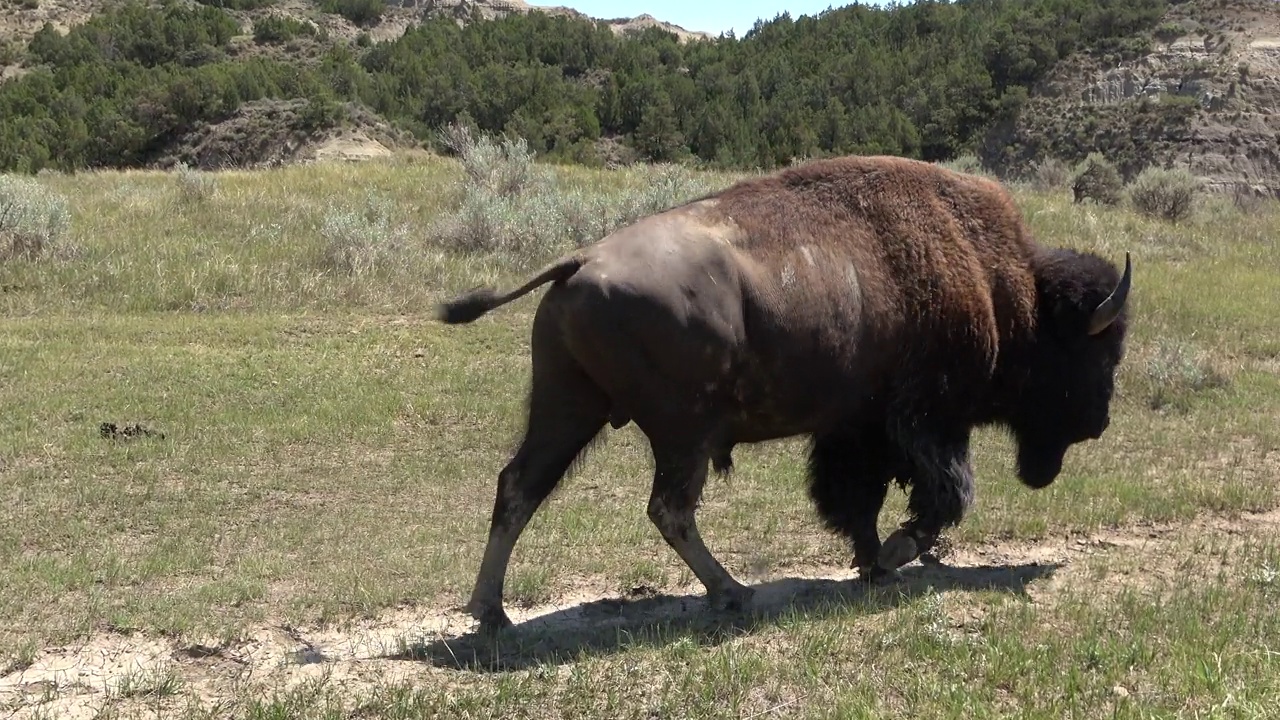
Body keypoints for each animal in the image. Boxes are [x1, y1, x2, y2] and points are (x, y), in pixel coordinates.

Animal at [437, 154, 1131, 630]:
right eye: (1095, 351)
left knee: (520, 487)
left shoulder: (855, 432)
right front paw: (894, 555)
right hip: (680, 431)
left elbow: (856, 500)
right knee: (667, 508)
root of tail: (580, 259)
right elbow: (943, 496)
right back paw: (731, 593)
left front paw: (870, 562)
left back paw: (490, 612)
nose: (1098, 421)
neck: (1006, 290)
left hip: (568, 409)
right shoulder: (926, 421)